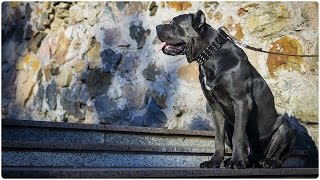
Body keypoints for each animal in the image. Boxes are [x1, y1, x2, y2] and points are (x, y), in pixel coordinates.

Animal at [156, 10, 296, 169]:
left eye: (174, 24)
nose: (156, 27)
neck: (211, 56)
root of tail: (257, 159)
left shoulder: (241, 101)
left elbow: (238, 135)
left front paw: (237, 162)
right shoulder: (214, 107)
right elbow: (219, 137)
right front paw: (214, 161)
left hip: (285, 128)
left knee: (279, 155)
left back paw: (268, 161)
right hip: (229, 124)